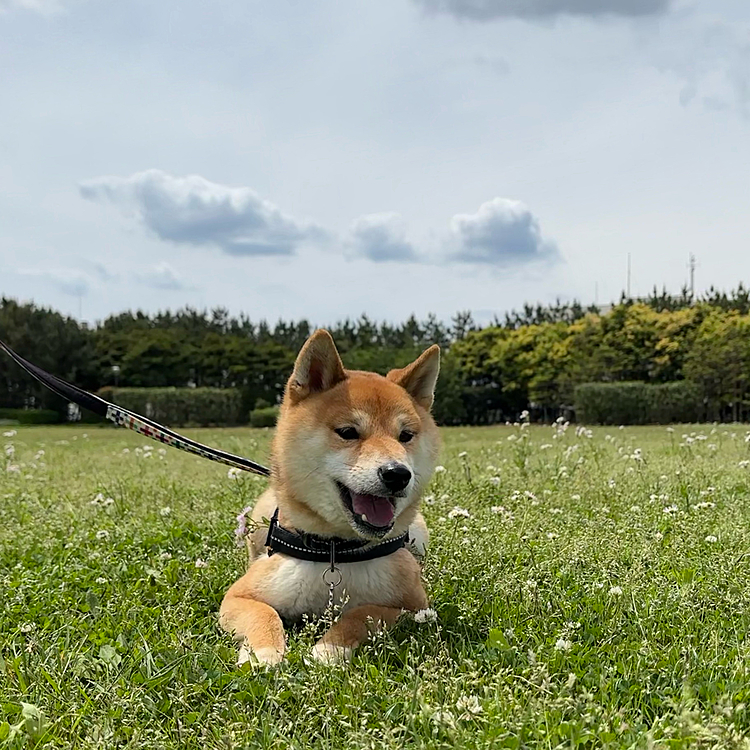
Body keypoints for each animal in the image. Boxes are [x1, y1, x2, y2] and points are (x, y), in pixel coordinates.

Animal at [219, 328, 440, 664]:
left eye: (406, 436)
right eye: (348, 432)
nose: (398, 474)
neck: (335, 551)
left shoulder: (414, 607)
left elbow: (361, 613)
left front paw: (330, 648)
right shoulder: (239, 595)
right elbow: (263, 613)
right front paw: (263, 653)